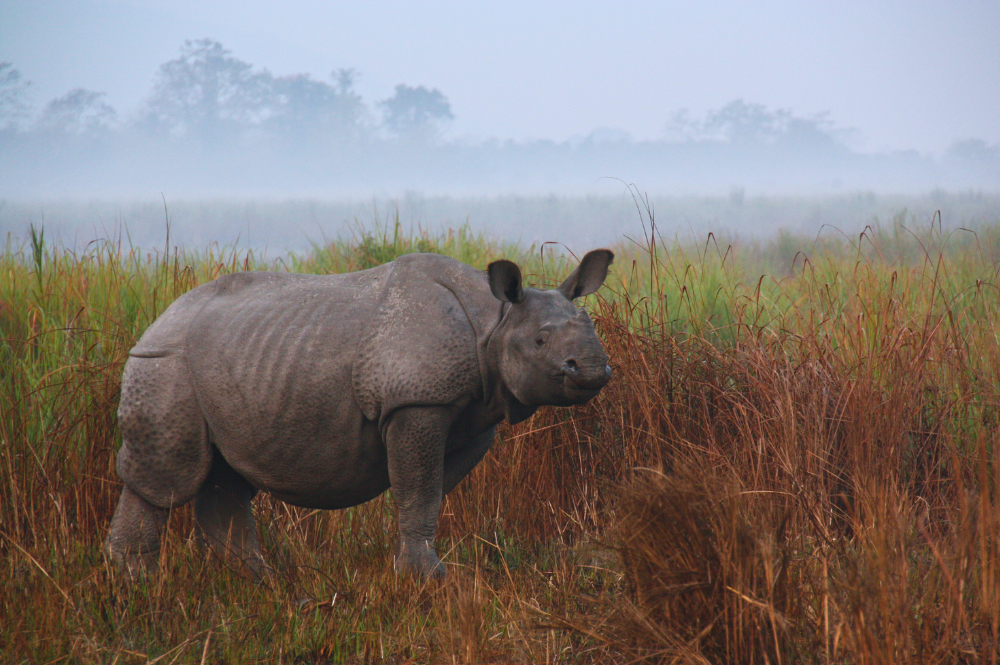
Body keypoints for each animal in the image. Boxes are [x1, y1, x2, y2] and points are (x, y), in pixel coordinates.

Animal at [105, 248, 612, 576]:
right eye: (540, 341)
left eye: (590, 326)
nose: (591, 368)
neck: (495, 320)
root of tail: (157, 319)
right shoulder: (416, 401)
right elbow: (419, 490)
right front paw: (428, 577)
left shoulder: (473, 415)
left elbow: (430, 492)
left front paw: (412, 568)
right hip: (165, 361)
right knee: (168, 477)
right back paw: (134, 587)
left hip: (227, 364)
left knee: (223, 477)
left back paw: (265, 585)